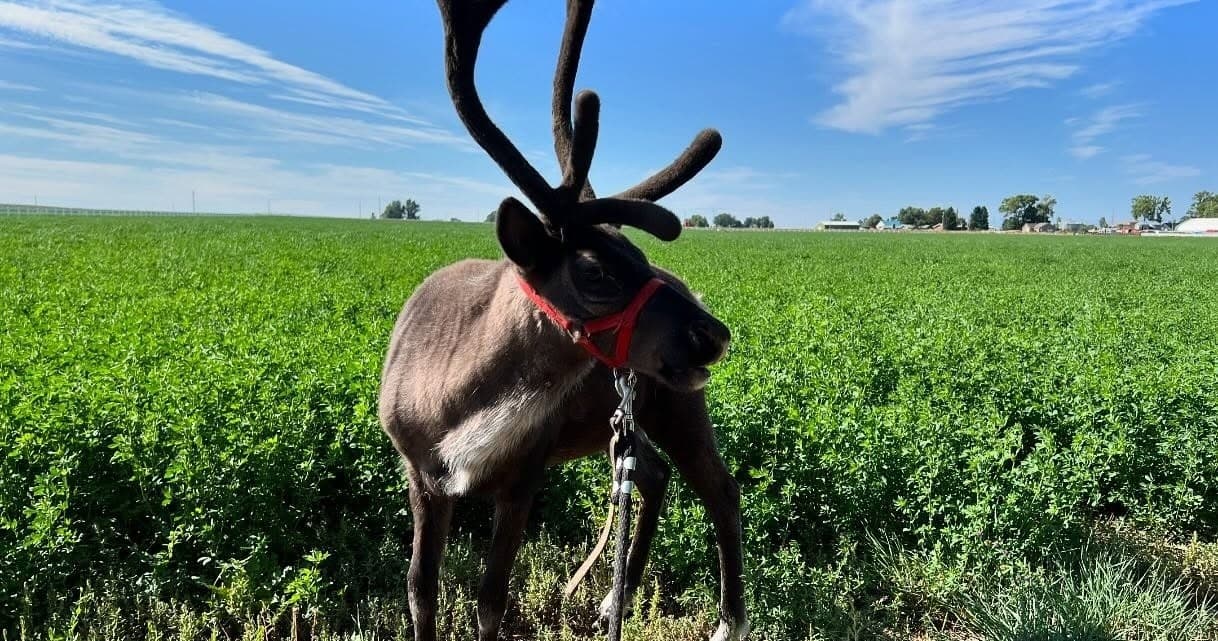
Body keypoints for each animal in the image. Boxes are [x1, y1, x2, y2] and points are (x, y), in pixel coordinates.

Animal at [376, 1, 749, 640]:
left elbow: (491, 599)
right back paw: (615, 601)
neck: (457, 402)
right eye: (595, 271)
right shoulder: (420, 473)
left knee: (720, 490)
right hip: (625, 419)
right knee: (654, 475)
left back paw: (729, 621)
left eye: (639, 254)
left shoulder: (525, 473)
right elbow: (419, 590)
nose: (714, 334)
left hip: (677, 405)